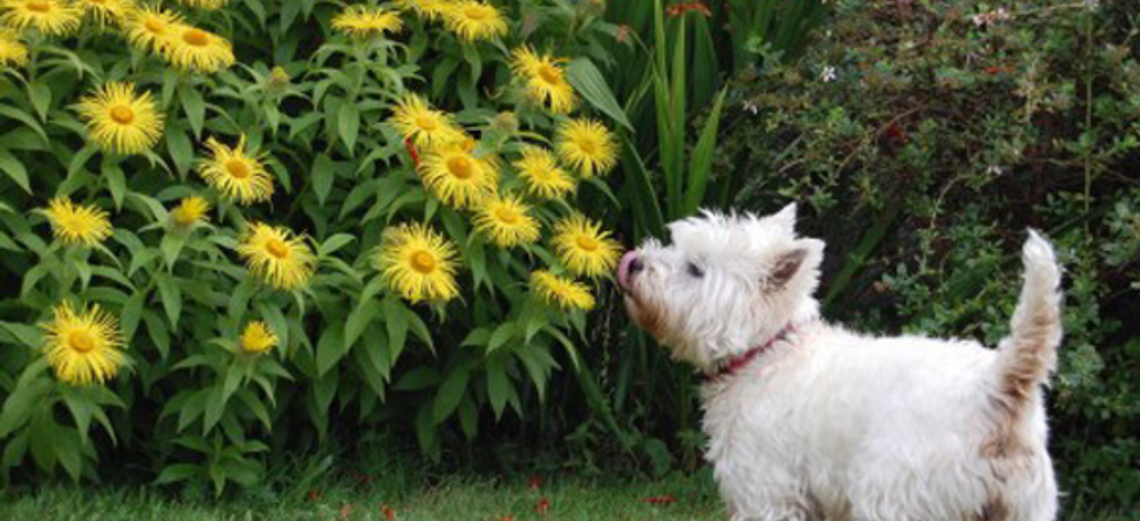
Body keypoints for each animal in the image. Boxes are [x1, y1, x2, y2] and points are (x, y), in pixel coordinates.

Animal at [620, 205, 1062, 519]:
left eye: (696, 269)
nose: (632, 262)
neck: (767, 352)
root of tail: (997, 385)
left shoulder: (766, 488)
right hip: (1027, 506)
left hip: (892, 496)